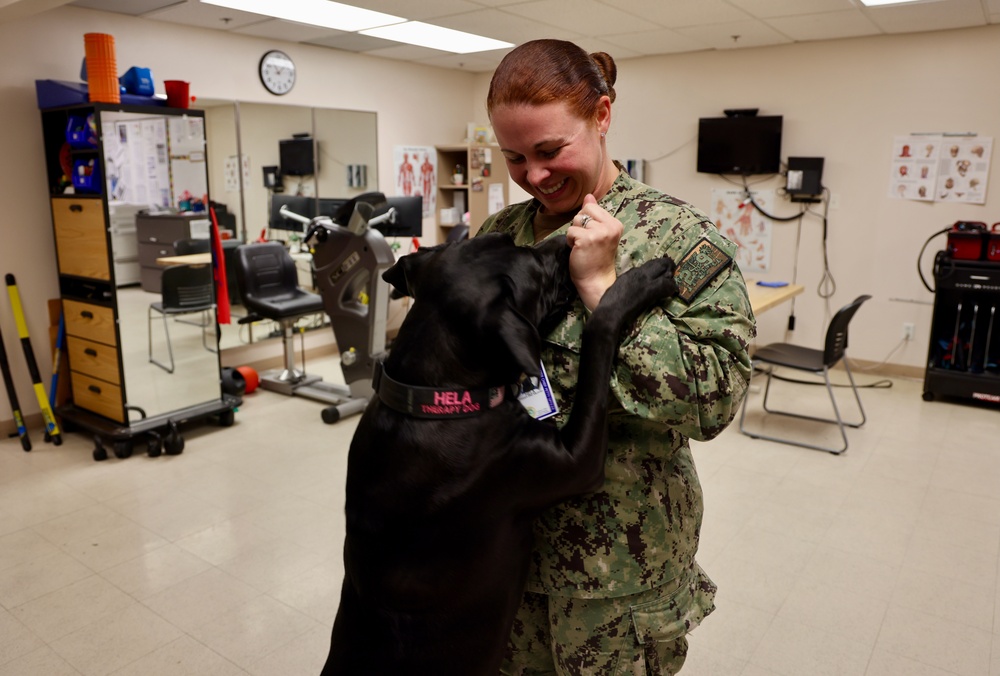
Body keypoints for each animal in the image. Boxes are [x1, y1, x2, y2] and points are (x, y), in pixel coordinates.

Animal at [324, 234, 676, 676]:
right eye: (535, 266)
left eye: (507, 240)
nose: (567, 242)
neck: (433, 395)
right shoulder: (576, 460)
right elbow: (598, 337)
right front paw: (636, 284)